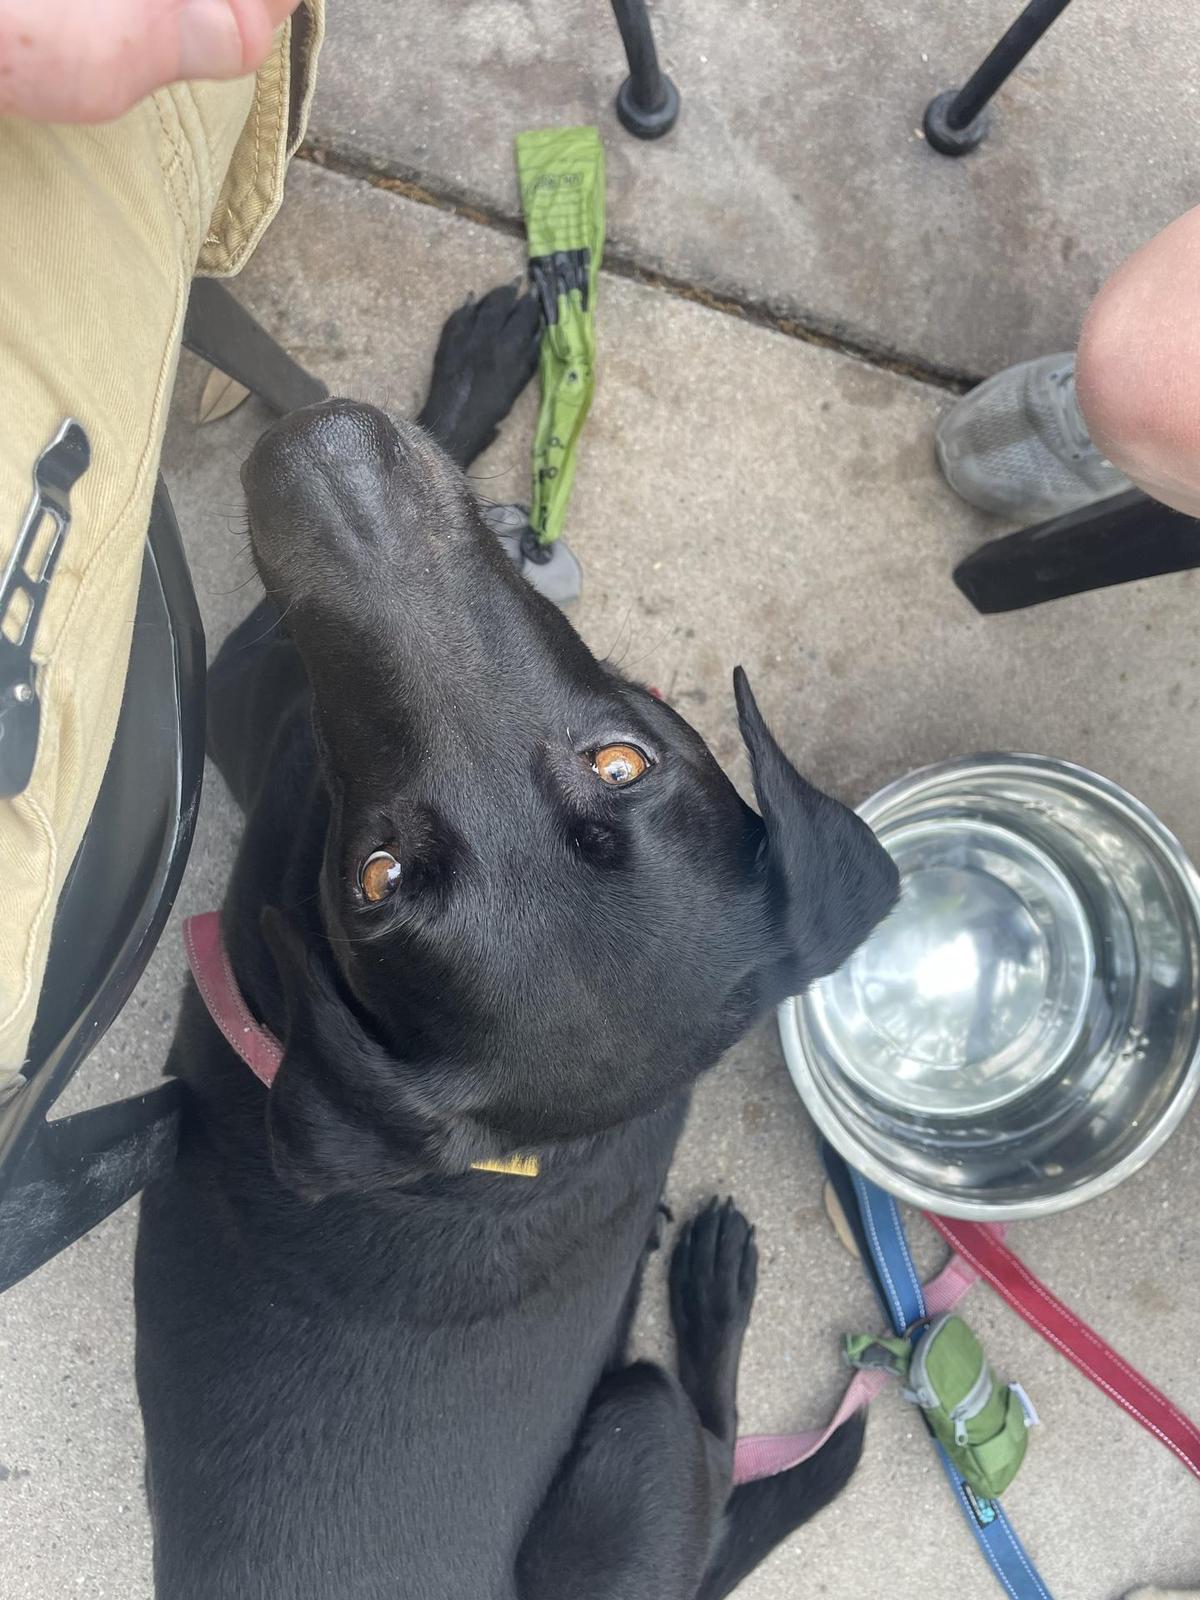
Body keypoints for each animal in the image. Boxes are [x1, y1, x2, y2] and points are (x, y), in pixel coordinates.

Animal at [136, 288, 896, 1600]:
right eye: (379, 875)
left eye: (622, 761)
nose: (334, 480)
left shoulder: (244, 692)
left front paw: (478, 374)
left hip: (634, 1425)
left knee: (712, 1441)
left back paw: (712, 1294)